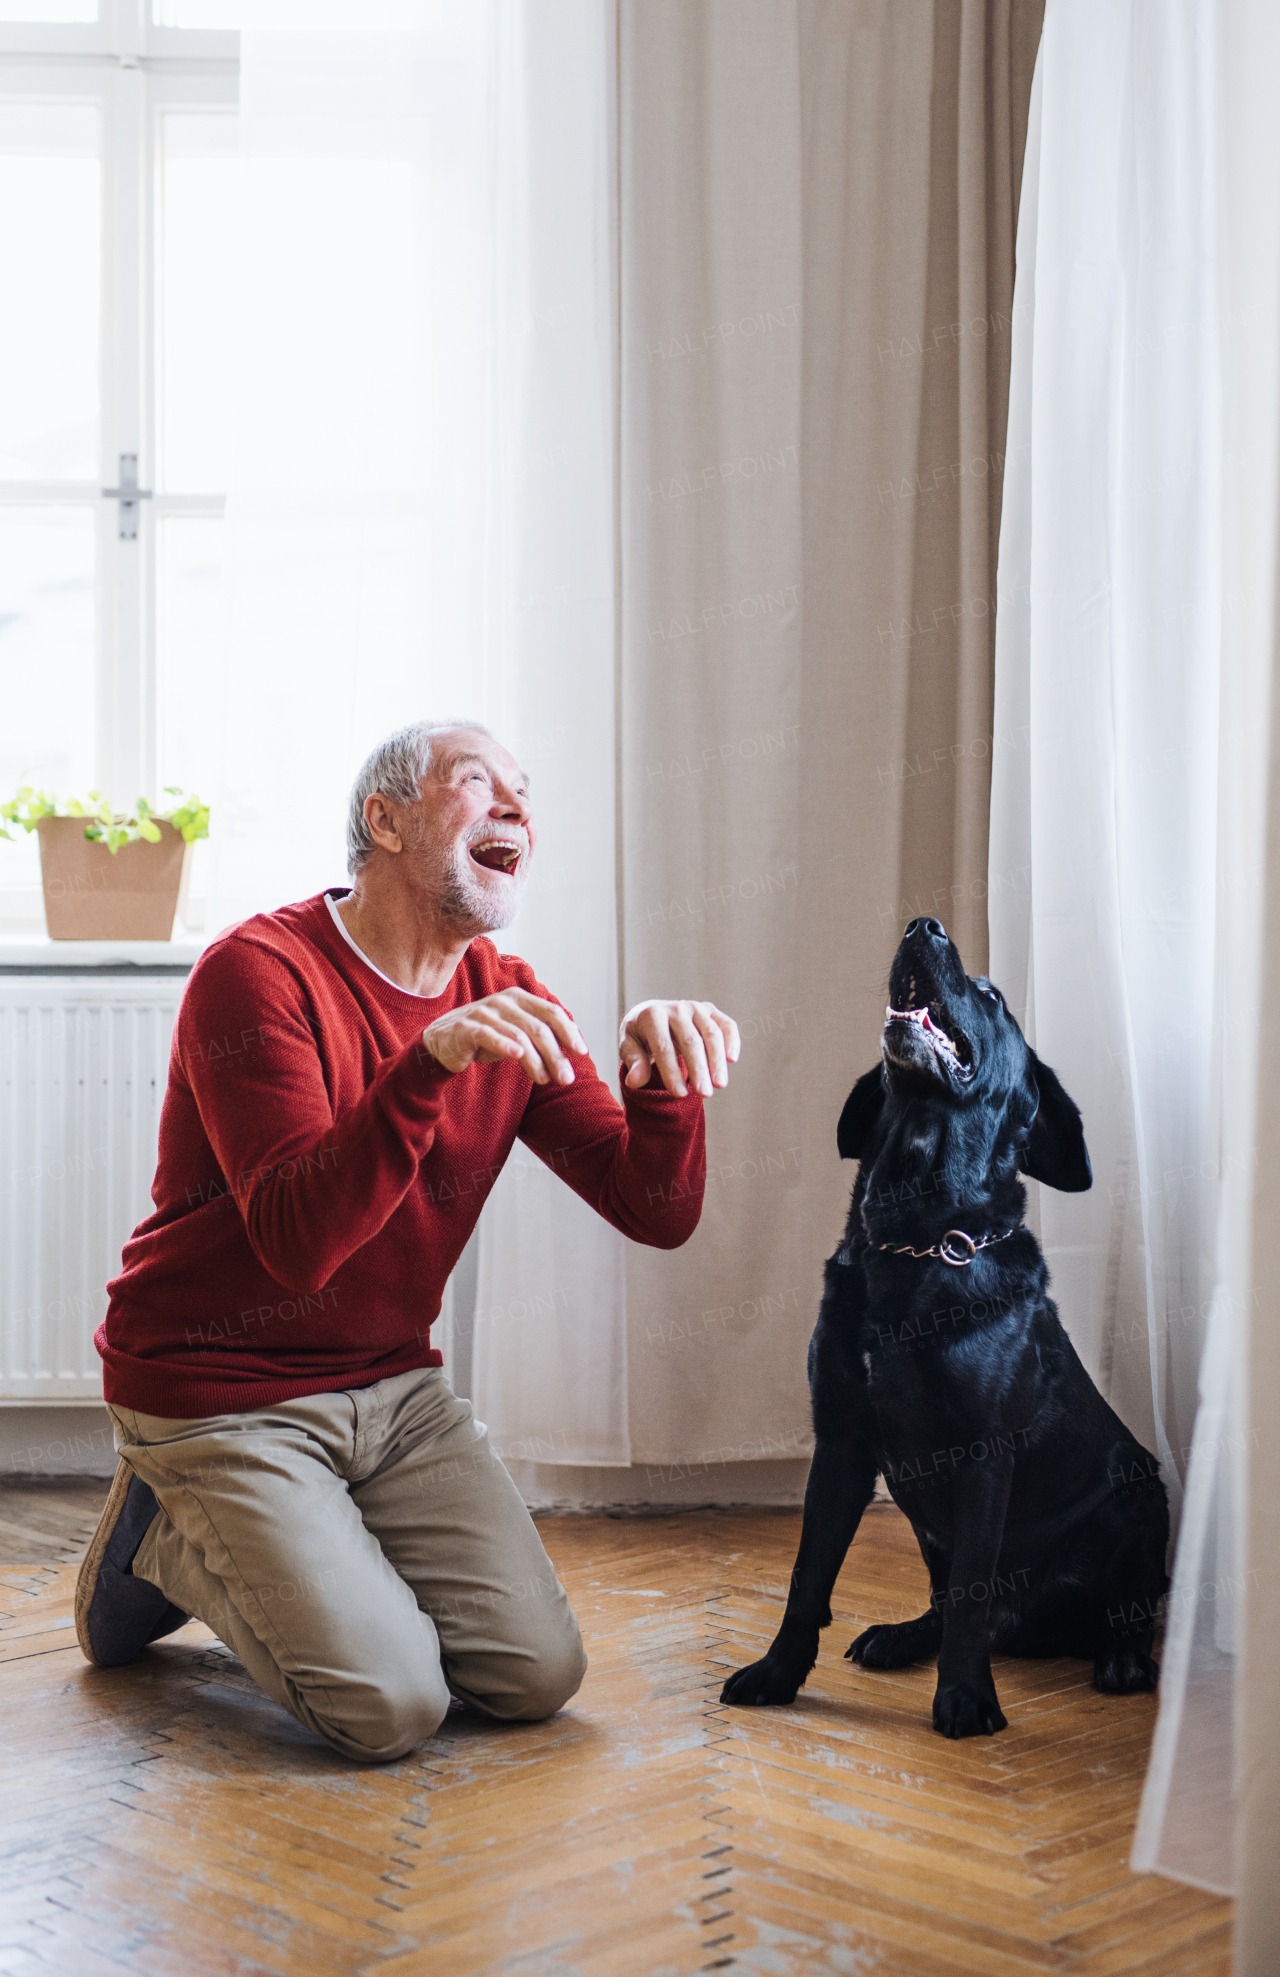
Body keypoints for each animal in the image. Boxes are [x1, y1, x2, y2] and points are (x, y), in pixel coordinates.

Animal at [720, 917, 1171, 1739]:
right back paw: (902, 1635)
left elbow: (969, 1587)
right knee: (942, 1601)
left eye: (991, 996)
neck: (919, 1235)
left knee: (1119, 1610)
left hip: (1136, 1493)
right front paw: (777, 1673)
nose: (923, 925)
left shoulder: (985, 1452)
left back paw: (1122, 1660)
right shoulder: (840, 1440)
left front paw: (966, 1697)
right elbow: (807, 1577)